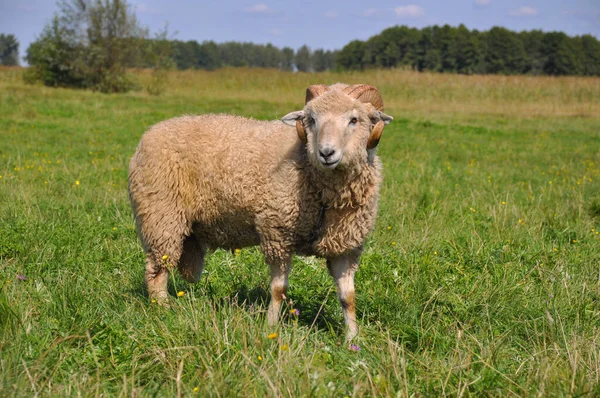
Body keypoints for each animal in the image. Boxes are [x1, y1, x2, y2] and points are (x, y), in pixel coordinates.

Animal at [127, 82, 394, 340]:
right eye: (311, 120)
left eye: (354, 120)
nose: (326, 153)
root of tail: (148, 134)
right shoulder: (277, 232)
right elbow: (278, 290)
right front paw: (270, 328)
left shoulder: (345, 246)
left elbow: (348, 297)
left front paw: (352, 340)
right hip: (161, 218)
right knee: (156, 273)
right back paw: (164, 310)